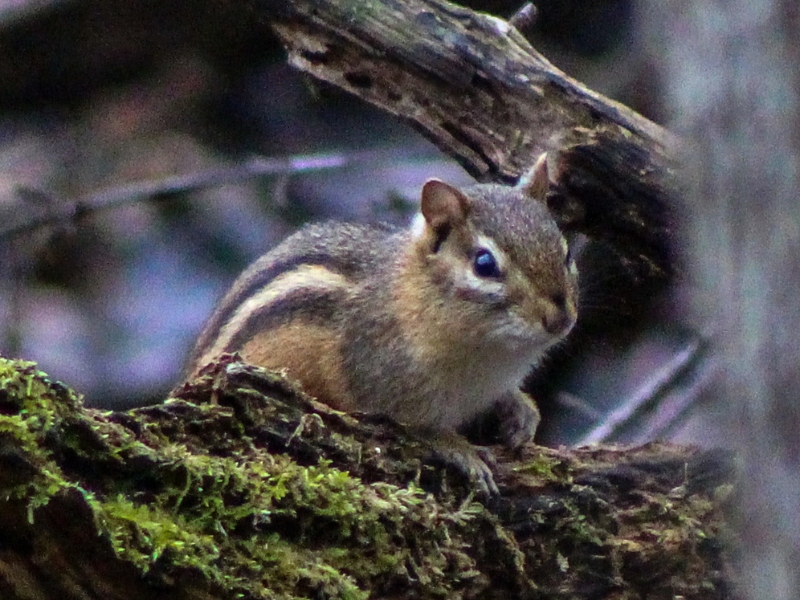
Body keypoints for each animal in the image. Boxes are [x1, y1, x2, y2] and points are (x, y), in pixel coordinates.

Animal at [186, 153, 578, 495]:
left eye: (566, 252)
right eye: (484, 264)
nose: (561, 319)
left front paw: (522, 410)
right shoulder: (379, 373)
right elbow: (418, 428)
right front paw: (461, 450)